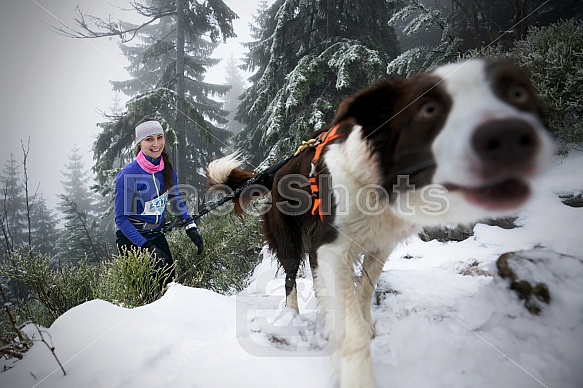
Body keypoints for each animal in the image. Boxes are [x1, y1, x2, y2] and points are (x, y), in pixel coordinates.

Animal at [208, 58, 556, 388]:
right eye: (428, 109)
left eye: (517, 94)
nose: (509, 137)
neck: (379, 184)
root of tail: (274, 172)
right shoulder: (331, 246)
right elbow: (351, 326)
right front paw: (357, 373)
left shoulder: (380, 245)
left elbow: (363, 290)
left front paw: (364, 322)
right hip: (289, 238)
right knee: (291, 279)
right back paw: (292, 317)